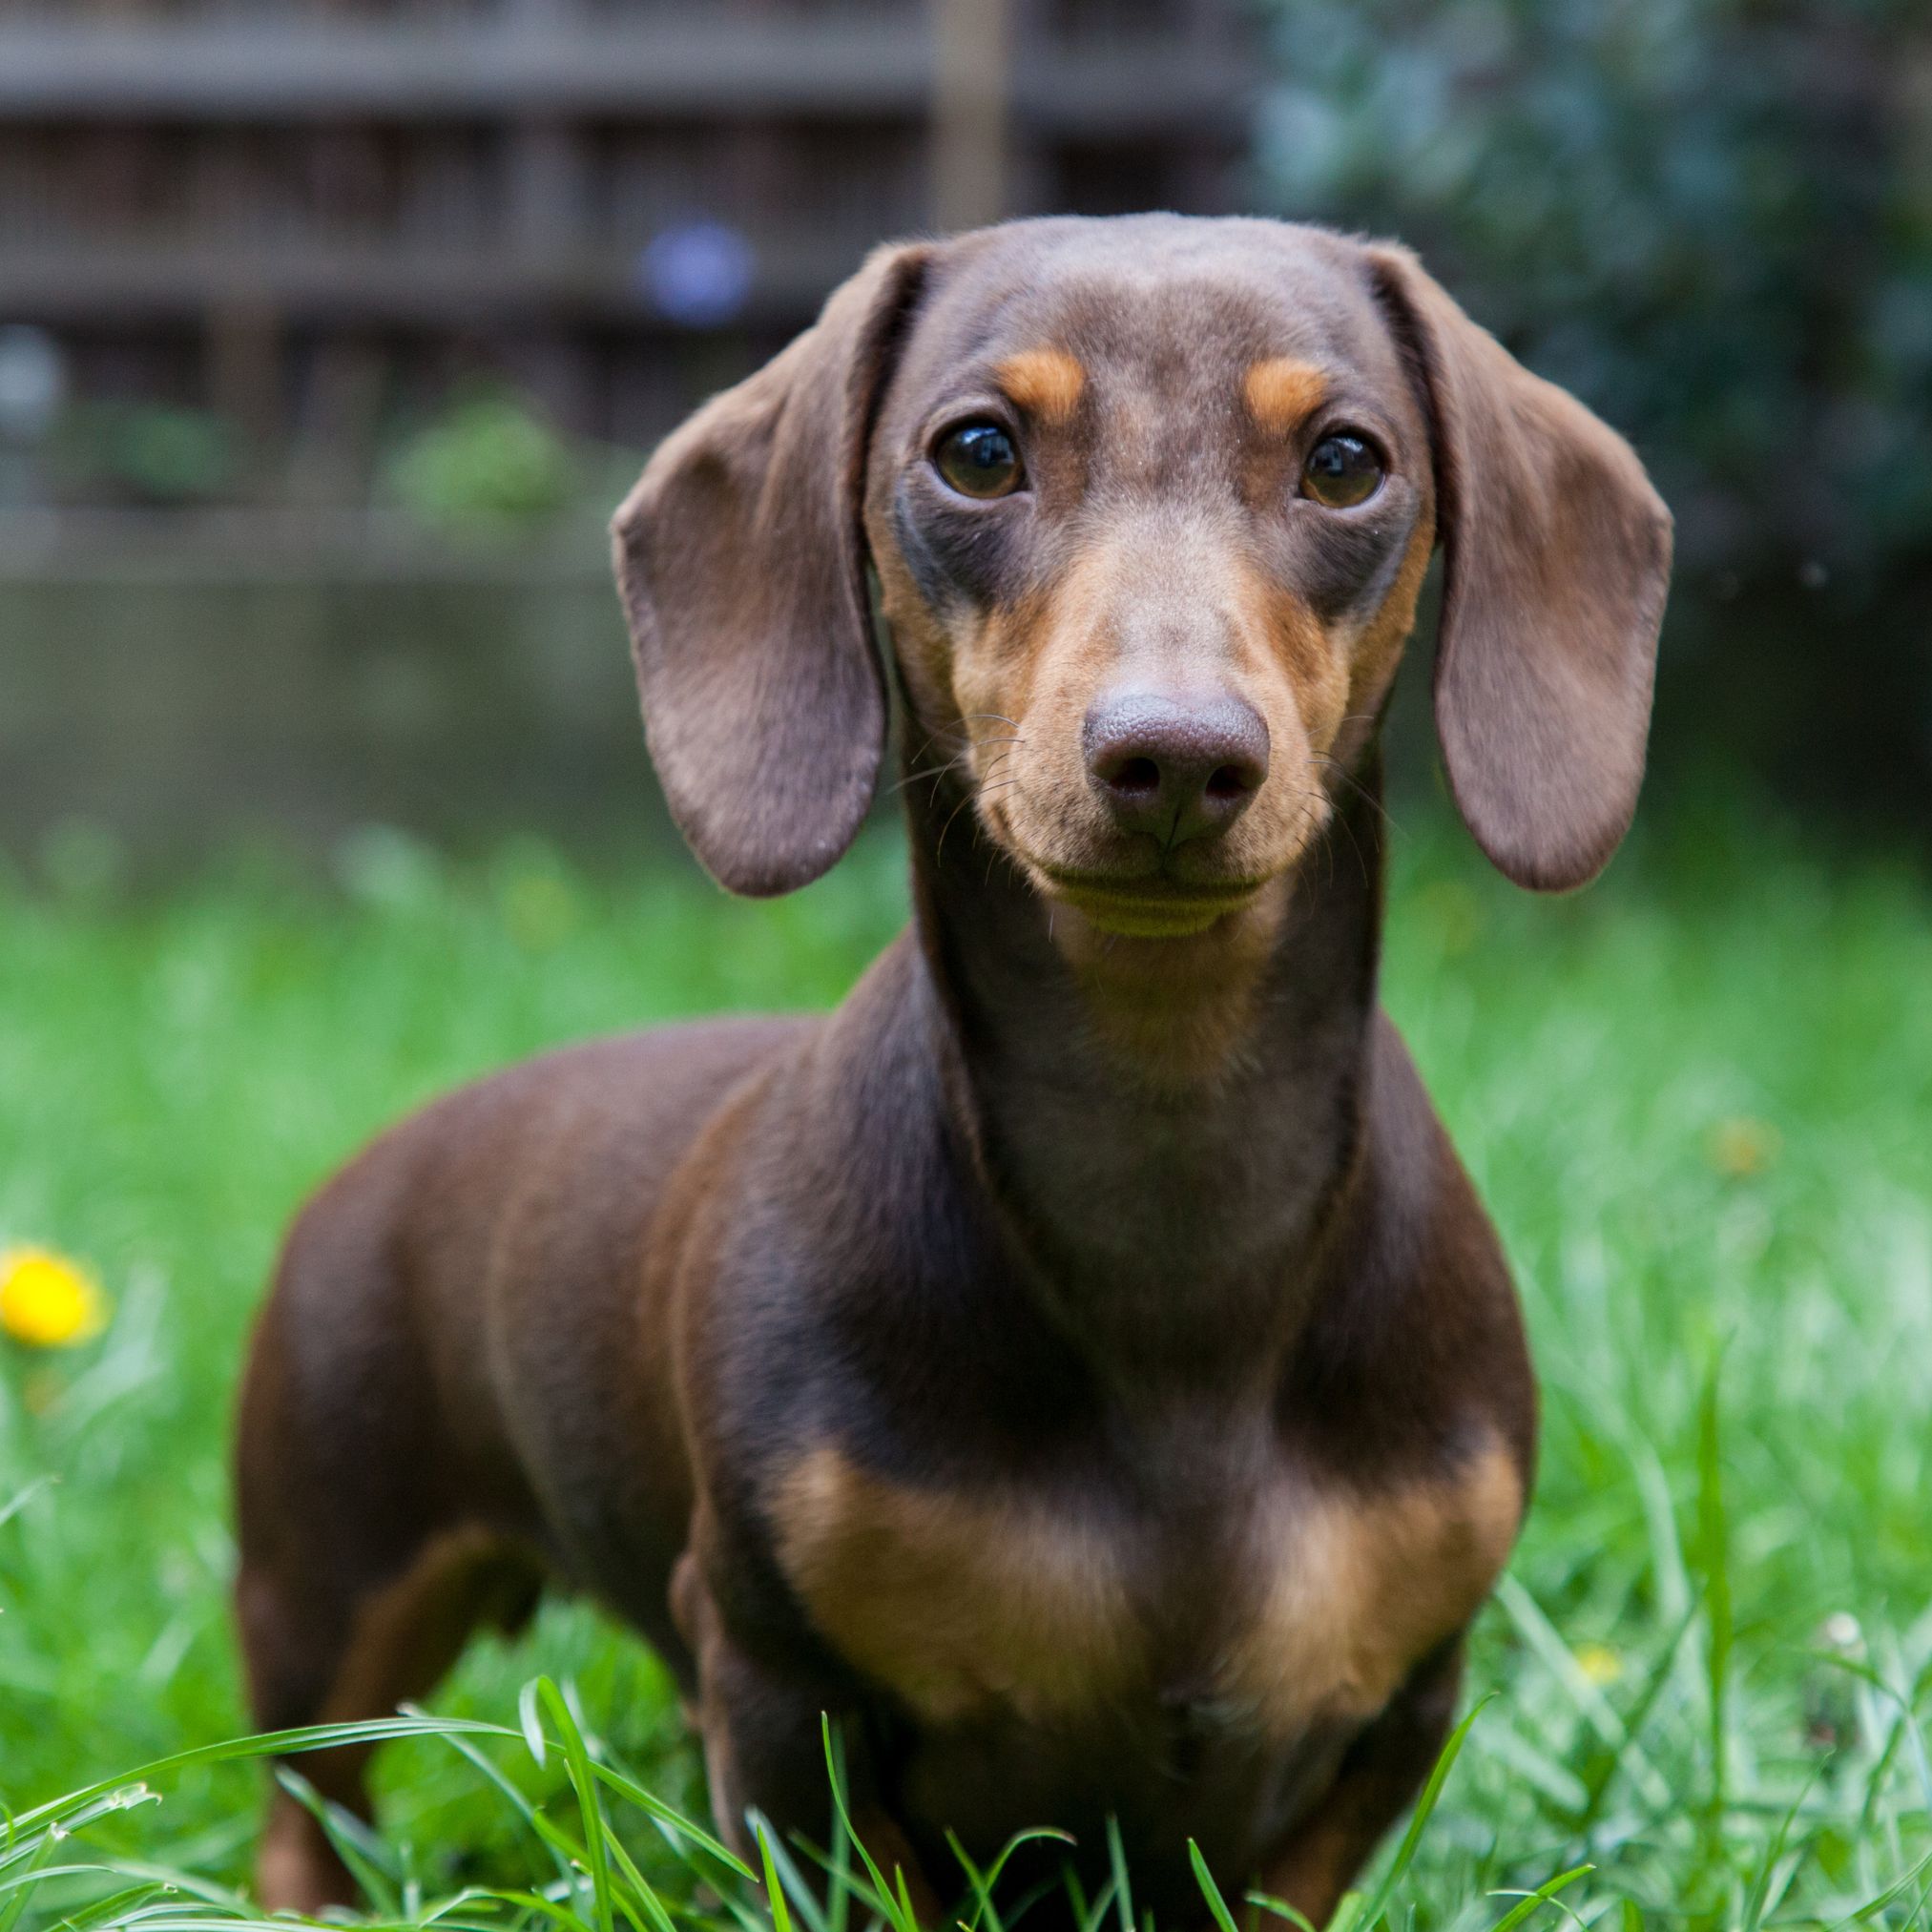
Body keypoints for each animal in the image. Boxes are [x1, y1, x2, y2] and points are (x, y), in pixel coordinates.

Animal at [234, 215, 1669, 1932]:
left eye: (1345, 461)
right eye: (977, 451)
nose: (1176, 754)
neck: (1172, 1219)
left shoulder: (1397, 1712)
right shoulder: (784, 1701)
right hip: (325, 1591)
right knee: (303, 1808)